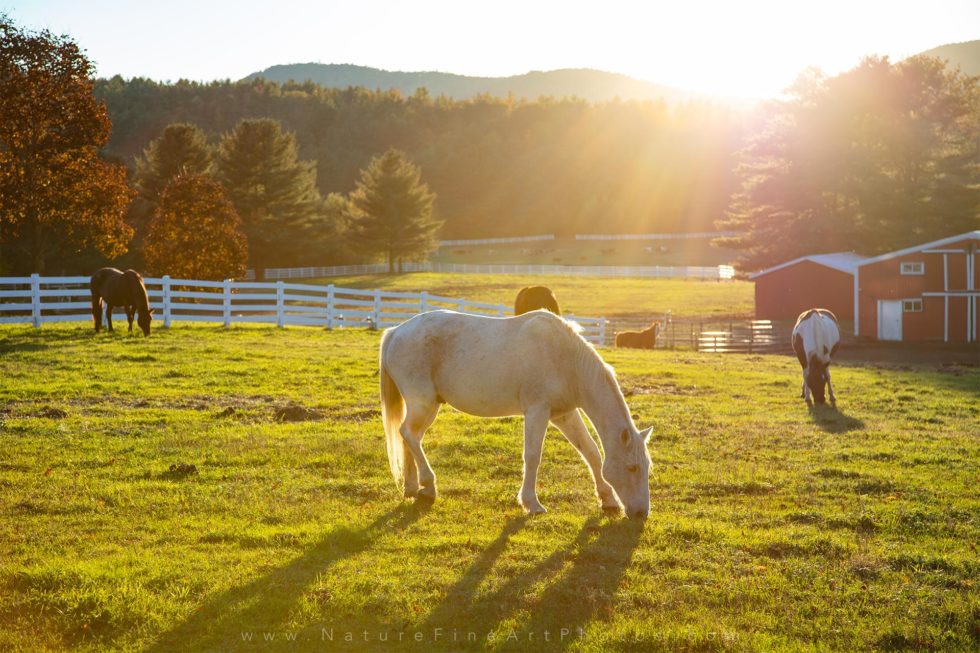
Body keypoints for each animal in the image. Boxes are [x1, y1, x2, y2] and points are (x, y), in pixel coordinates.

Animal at [378, 308, 656, 516]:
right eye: (632, 468)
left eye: (647, 467)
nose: (641, 513)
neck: (566, 358)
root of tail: (396, 332)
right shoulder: (537, 411)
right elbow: (532, 456)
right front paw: (531, 503)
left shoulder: (564, 415)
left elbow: (591, 452)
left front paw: (608, 500)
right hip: (424, 405)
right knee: (409, 434)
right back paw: (428, 485)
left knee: (409, 437)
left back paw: (412, 488)